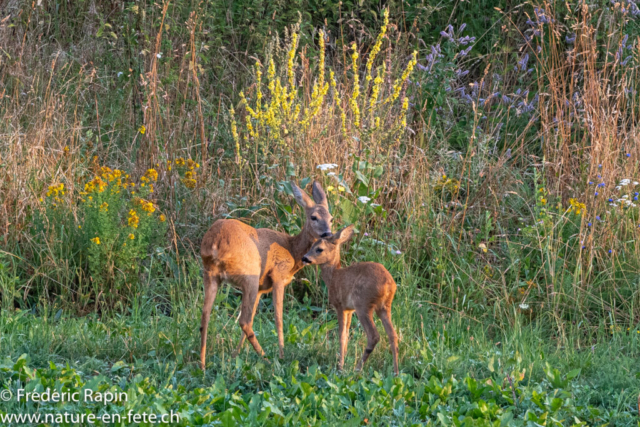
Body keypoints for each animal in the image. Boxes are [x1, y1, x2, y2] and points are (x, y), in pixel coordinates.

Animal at [198, 182, 332, 370]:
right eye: (313, 217)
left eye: (331, 218)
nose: (328, 234)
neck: (292, 250)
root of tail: (216, 243)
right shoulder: (278, 276)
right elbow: (278, 318)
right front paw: (282, 354)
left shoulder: (262, 288)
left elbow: (254, 315)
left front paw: (235, 355)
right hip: (250, 275)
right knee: (243, 321)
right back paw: (267, 359)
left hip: (211, 274)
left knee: (206, 316)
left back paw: (202, 365)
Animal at [302, 226, 400, 376]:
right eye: (312, 245)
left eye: (319, 249)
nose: (305, 258)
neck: (333, 277)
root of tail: (389, 285)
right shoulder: (349, 309)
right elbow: (347, 334)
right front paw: (344, 359)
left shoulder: (340, 305)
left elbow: (341, 335)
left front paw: (340, 367)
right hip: (384, 306)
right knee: (393, 335)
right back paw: (396, 373)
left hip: (363, 304)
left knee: (374, 336)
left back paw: (358, 369)